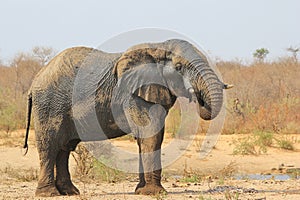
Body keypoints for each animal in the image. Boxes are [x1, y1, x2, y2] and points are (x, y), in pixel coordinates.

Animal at [23, 39, 231, 197]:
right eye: (179, 67)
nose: (197, 97)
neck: (158, 47)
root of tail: (34, 83)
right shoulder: (133, 95)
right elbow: (151, 135)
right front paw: (154, 193)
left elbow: (148, 137)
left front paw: (141, 191)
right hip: (50, 104)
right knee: (50, 145)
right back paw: (49, 194)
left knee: (63, 148)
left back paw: (70, 192)